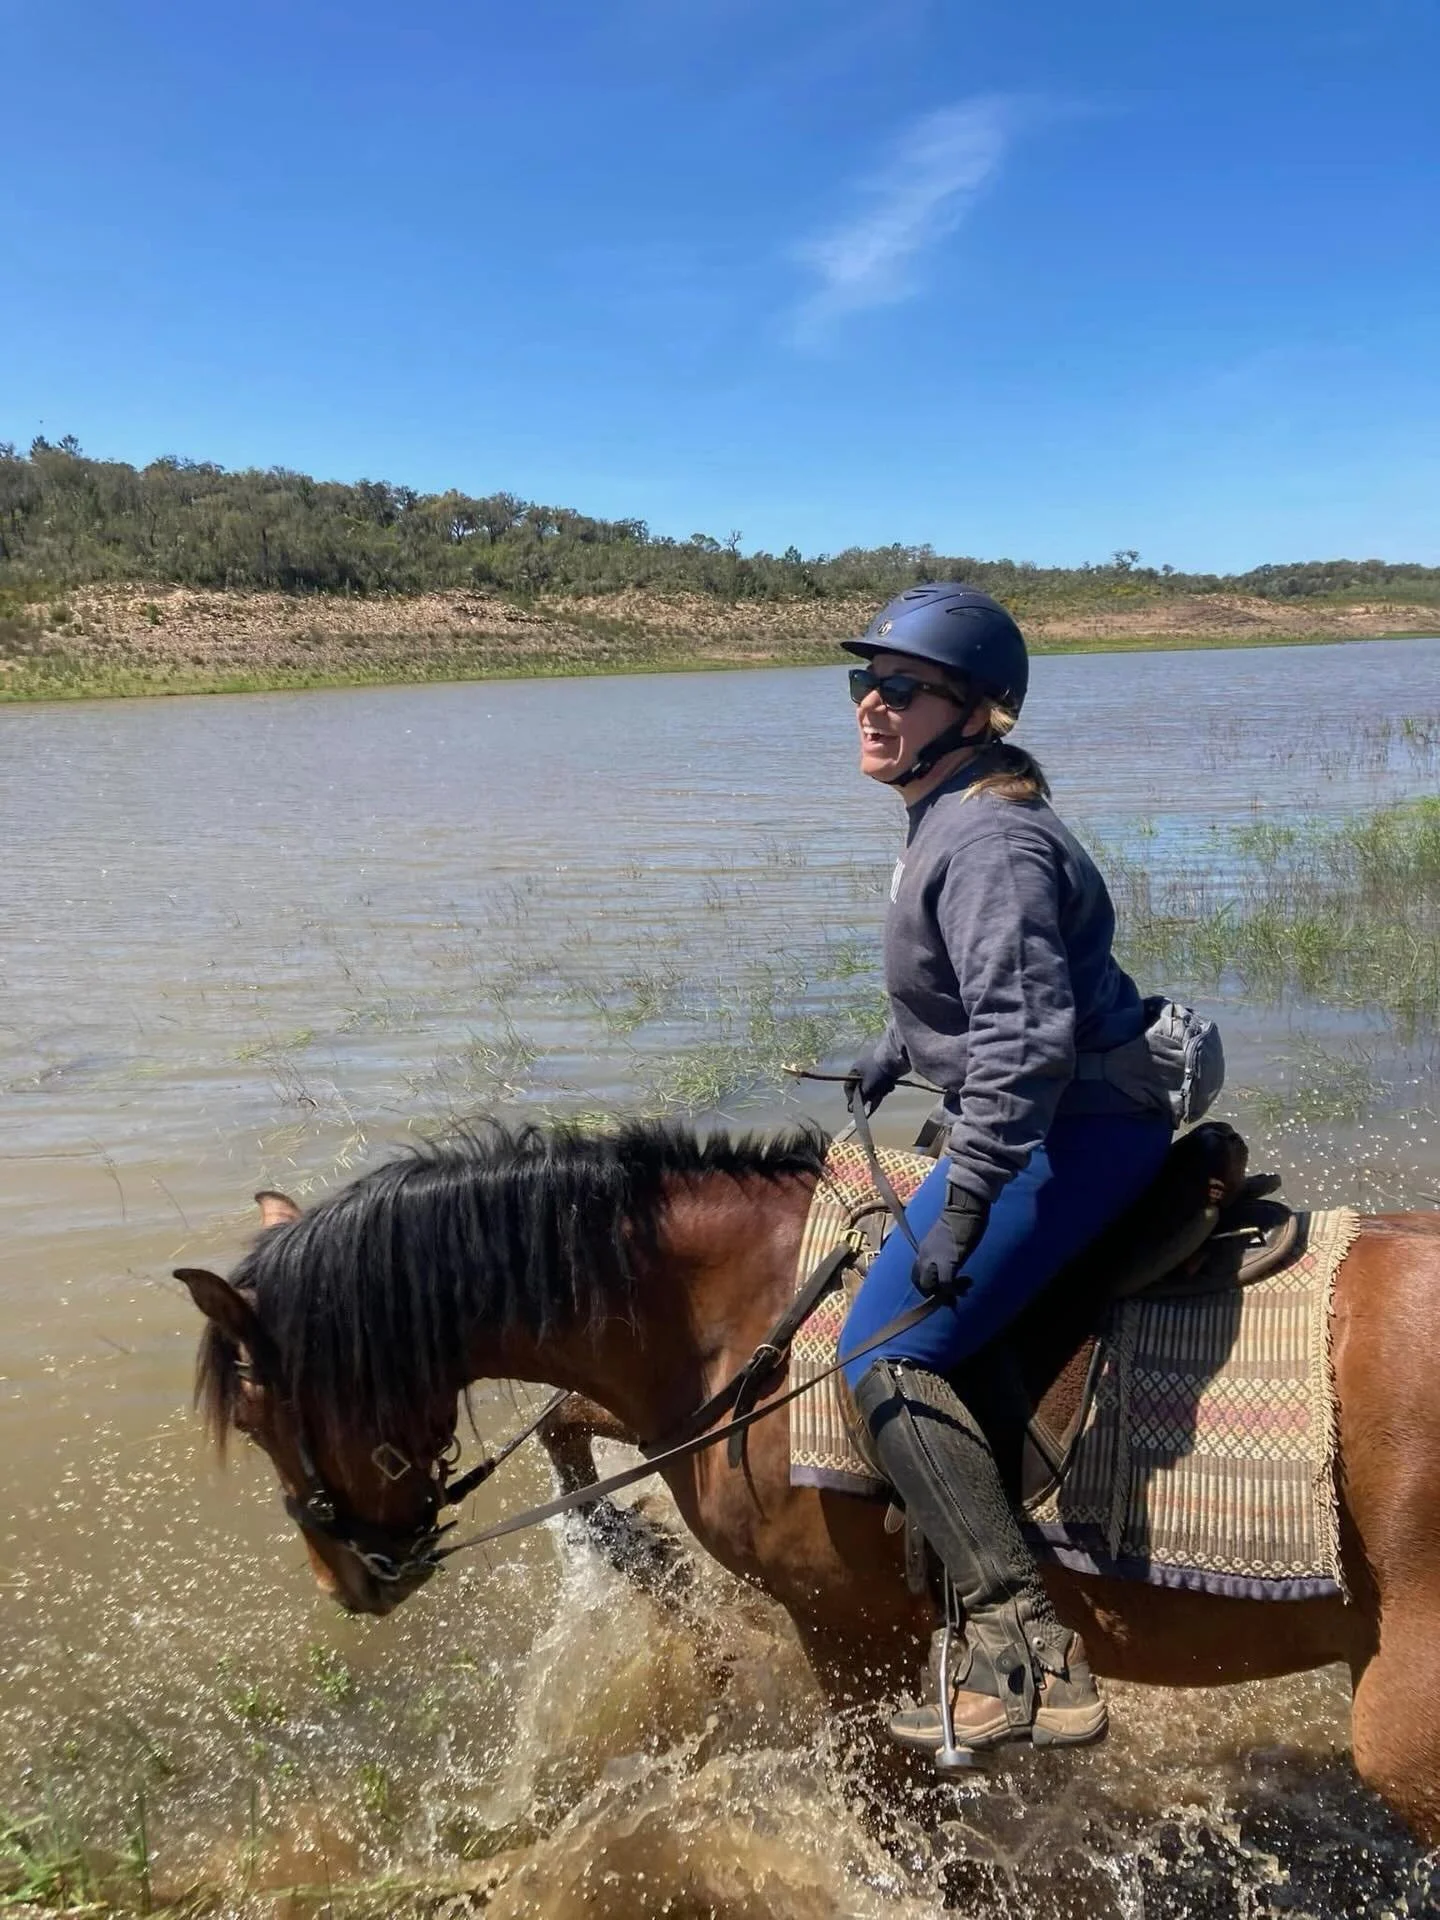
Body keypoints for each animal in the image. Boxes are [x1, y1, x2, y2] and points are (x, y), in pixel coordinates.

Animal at [179, 1118, 1440, 1841]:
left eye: (263, 1412)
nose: (348, 1578)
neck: (745, 1307)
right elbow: (569, 1426)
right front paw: (655, 1586)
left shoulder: (850, 1632)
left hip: (1405, 1737)